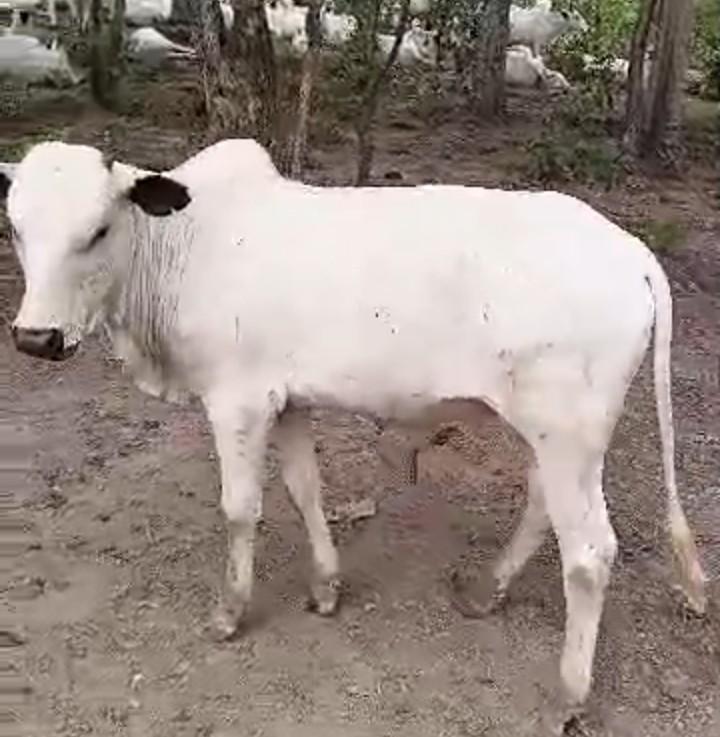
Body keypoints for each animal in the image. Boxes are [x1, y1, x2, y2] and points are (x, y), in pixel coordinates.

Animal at [0, 138, 706, 728]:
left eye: (97, 230)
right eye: (16, 228)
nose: (35, 338)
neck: (186, 247)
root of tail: (631, 250)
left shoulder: (237, 401)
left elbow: (240, 509)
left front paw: (230, 612)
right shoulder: (285, 401)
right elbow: (304, 488)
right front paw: (325, 587)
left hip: (568, 433)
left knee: (589, 553)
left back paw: (567, 694)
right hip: (556, 436)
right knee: (541, 508)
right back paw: (488, 591)